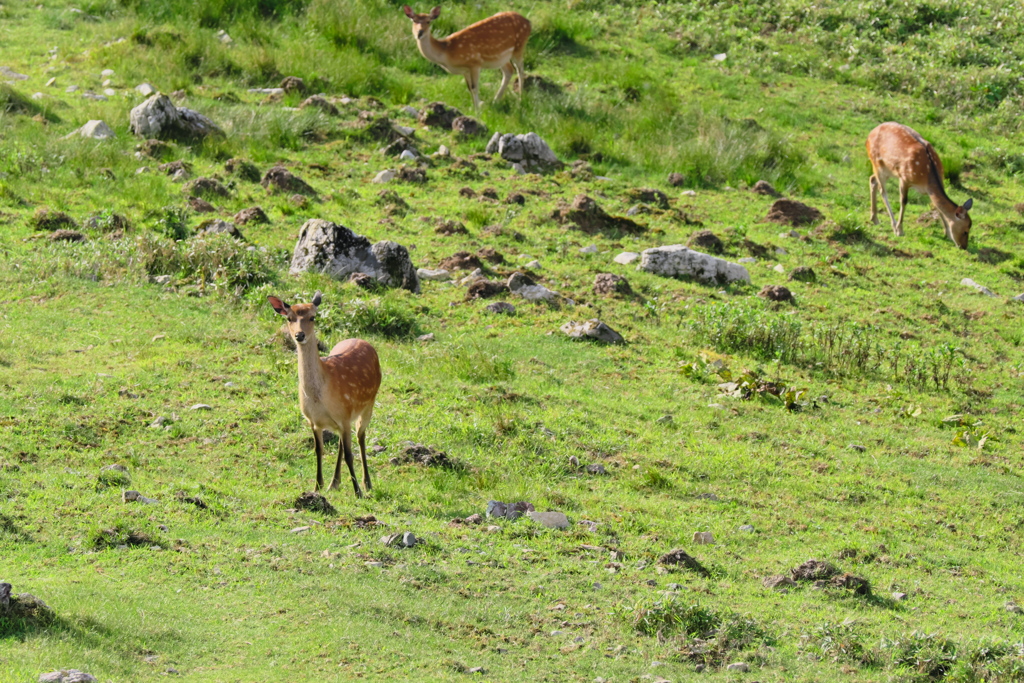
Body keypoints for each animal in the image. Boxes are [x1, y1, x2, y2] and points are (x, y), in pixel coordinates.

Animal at [268, 290, 385, 499]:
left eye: (312, 317)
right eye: (289, 318)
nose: (299, 335)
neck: (319, 396)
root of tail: (363, 340)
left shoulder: (345, 415)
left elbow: (349, 455)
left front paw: (357, 492)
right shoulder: (313, 421)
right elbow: (318, 450)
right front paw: (317, 487)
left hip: (368, 404)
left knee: (361, 437)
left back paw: (367, 483)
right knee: (341, 444)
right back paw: (334, 483)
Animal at [399, 5, 532, 109]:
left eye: (428, 21)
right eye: (414, 20)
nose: (419, 33)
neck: (447, 53)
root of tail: (528, 22)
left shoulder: (475, 62)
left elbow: (475, 87)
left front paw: (478, 111)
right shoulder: (465, 70)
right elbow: (469, 88)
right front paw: (473, 108)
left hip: (519, 46)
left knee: (520, 70)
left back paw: (521, 99)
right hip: (500, 58)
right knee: (509, 70)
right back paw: (495, 101)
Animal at [864, 121, 974, 249]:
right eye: (965, 231)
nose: (963, 246)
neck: (926, 178)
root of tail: (869, 134)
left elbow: (936, 206)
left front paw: (947, 233)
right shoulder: (904, 178)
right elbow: (903, 201)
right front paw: (899, 230)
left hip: (887, 170)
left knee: (872, 179)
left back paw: (874, 218)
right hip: (877, 163)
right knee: (883, 191)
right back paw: (892, 224)